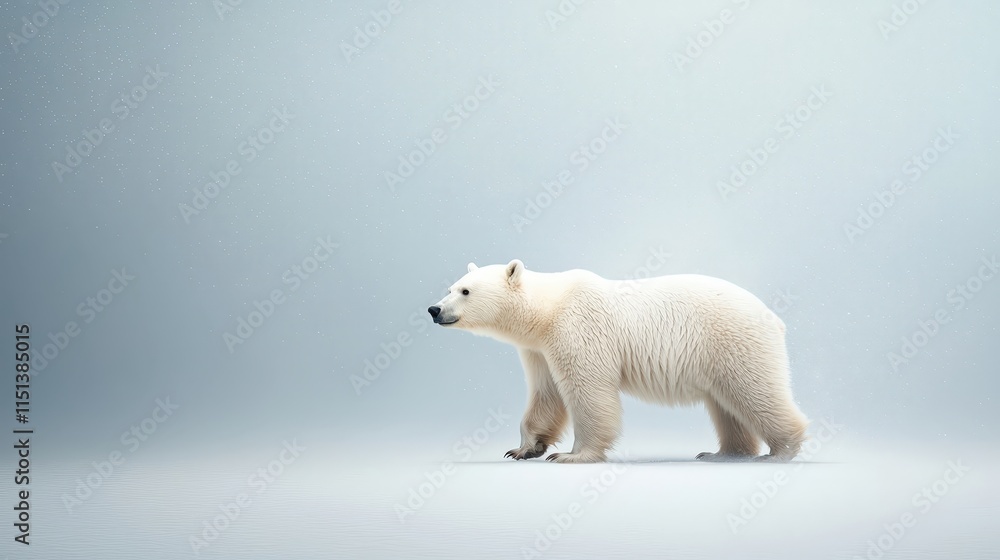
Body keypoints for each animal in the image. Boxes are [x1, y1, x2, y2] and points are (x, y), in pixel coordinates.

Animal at [428, 260, 809, 464]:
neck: (549, 308)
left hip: (733, 341)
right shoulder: (539, 349)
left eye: (465, 291)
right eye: (450, 287)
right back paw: (723, 454)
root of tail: (774, 318)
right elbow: (545, 395)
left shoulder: (580, 330)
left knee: (756, 392)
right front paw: (523, 449)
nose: (434, 309)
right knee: (727, 406)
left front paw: (571, 455)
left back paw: (780, 451)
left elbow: (589, 392)